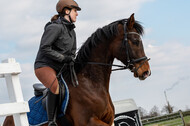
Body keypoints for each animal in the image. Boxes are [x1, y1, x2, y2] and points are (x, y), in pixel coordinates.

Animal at [2, 13, 151, 125]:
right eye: (135, 41)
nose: (146, 72)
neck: (91, 83)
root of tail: (10, 117)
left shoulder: (108, 120)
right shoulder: (87, 122)